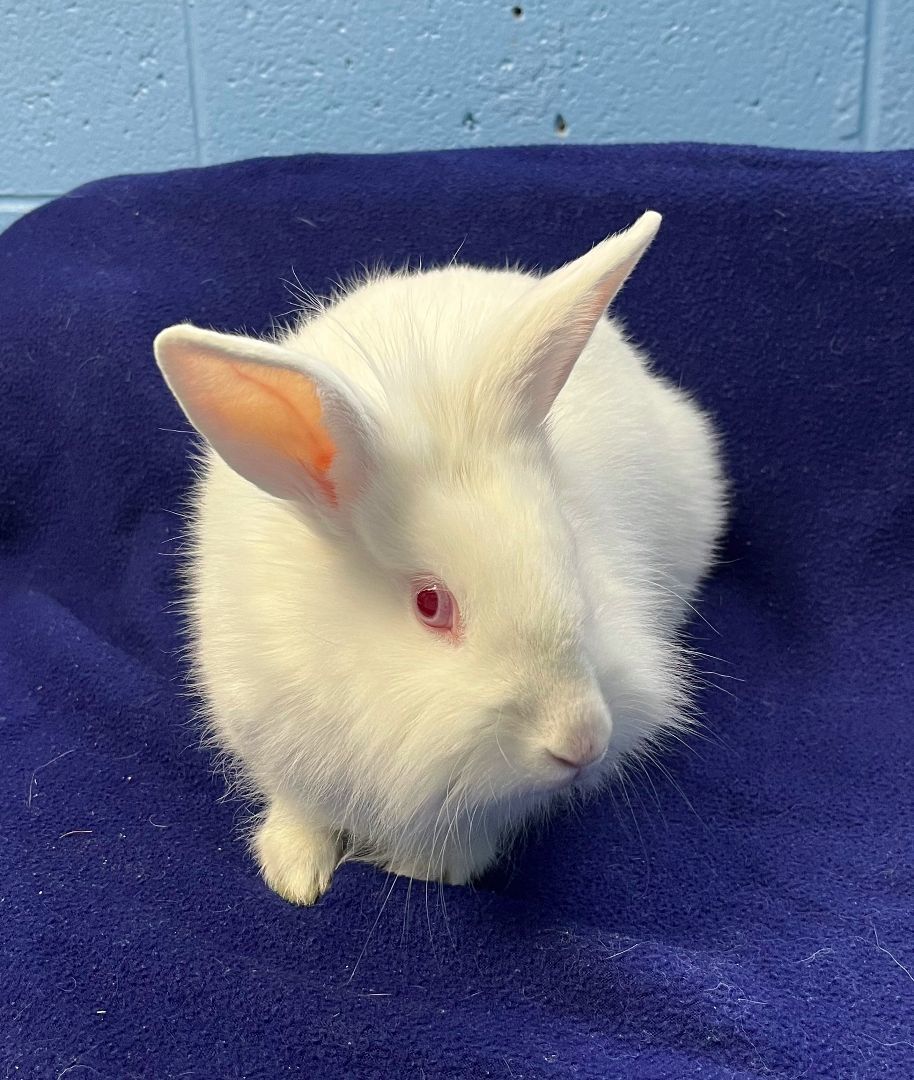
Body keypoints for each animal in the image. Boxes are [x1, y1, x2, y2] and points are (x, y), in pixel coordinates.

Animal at [154, 210, 727, 905]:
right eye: (430, 604)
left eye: (572, 559)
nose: (582, 742)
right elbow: (299, 808)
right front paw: (296, 876)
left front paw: (429, 868)